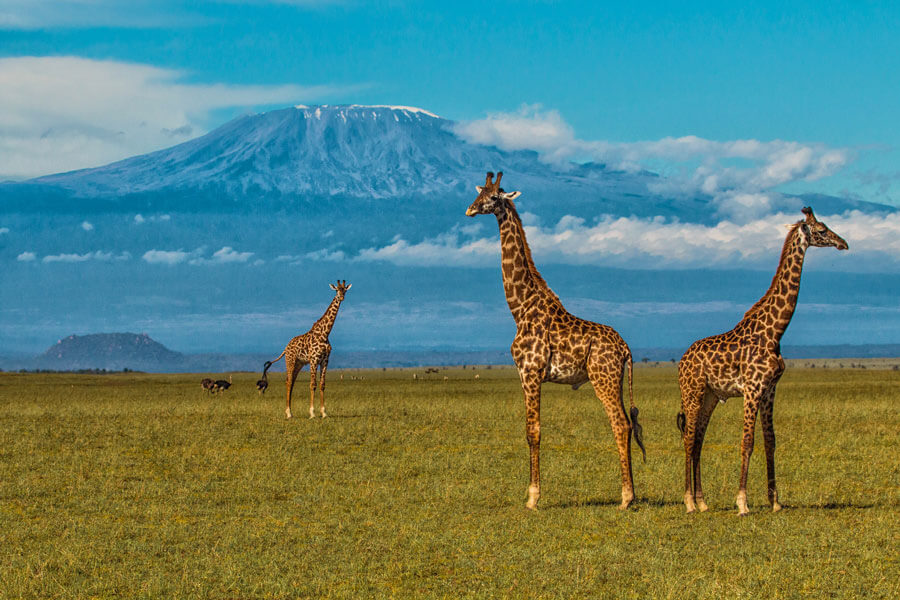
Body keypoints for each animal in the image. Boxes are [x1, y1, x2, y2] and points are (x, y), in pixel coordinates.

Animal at [260, 280, 352, 418]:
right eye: (336, 290)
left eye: (345, 290)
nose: (341, 297)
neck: (325, 333)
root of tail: (286, 348)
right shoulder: (314, 360)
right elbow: (312, 384)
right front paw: (312, 413)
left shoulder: (325, 361)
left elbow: (322, 384)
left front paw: (324, 413)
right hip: (290, 361)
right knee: (288, 381)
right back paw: (288, 413)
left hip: (299, 364)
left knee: (292, 382)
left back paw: (290, 411)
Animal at [468, 171, 644, 508]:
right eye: (478, 193)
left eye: (494, 197)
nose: (470, 210)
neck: (520, 308)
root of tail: (626, 348)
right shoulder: (526, 374)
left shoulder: (530, 372)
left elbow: (532, 431)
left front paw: (533, 498)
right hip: (613, 380)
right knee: (627, 424)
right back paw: (629, 494)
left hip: (603, 378)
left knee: (620, 423)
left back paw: (626, 498)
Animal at [680, 207, 848, 516]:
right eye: (821, 230)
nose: (843, 243)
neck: (775, 331)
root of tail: (682, 359)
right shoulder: (752, 389)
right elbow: (747, 441)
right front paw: (742, 503)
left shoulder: (770, 389)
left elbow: (771, 441)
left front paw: (775, 501)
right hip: (693, 392)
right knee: (688, 439)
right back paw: (689, 502)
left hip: (710, 396)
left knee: (698, 440)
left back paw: (703, 501)